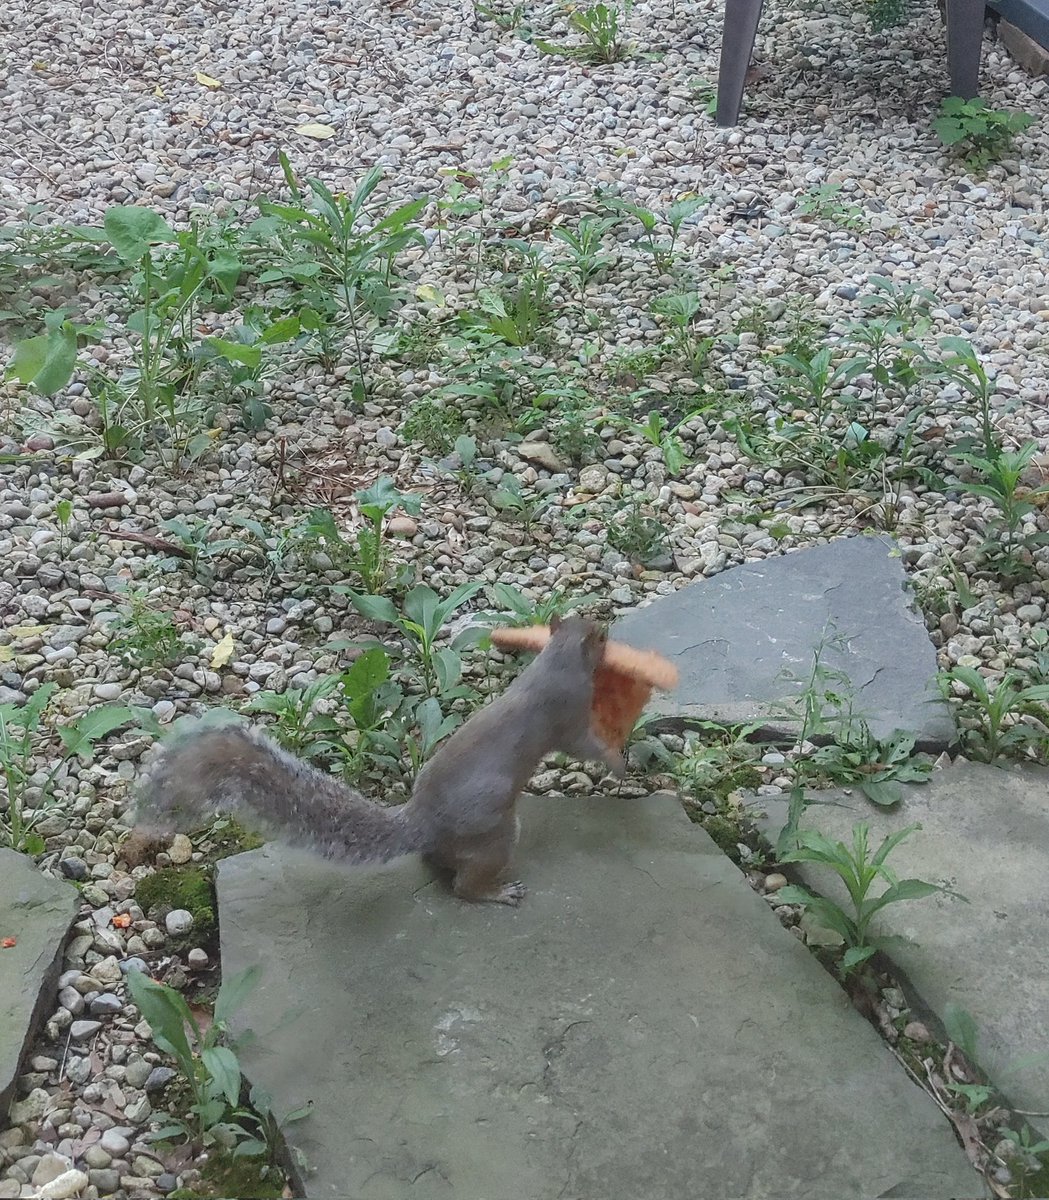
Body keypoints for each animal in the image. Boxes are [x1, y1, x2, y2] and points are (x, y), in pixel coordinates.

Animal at [135, 615, 623, 905]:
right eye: (598, 635)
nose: (607, 628)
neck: (555, 662)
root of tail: (421, 824)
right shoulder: (567, 716)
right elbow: (583, 746)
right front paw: (617, 760)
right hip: (496, 834)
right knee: (464, 885)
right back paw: (498, 893)